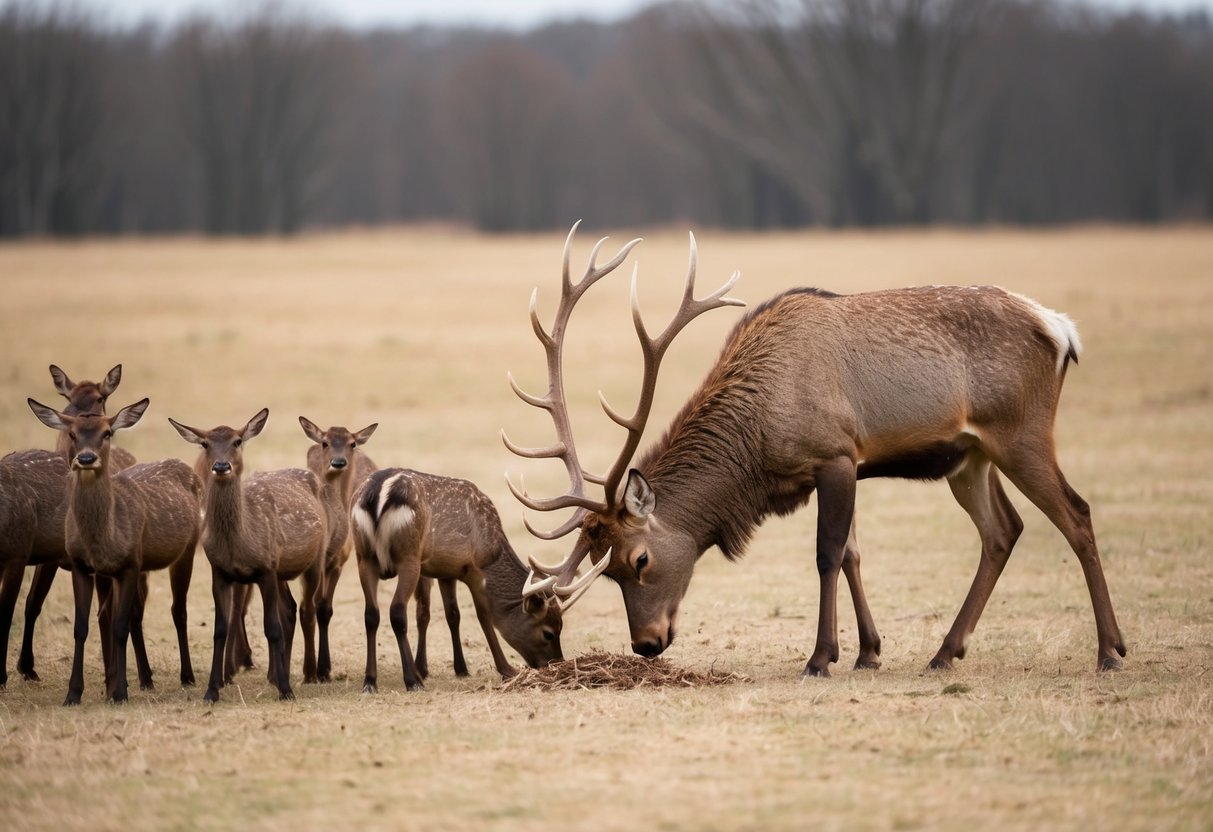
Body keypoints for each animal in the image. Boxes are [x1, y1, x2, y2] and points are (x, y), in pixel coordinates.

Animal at [27, 397, 201, 705]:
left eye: (107, 433)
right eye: (72, 433)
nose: (86, 458)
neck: (103, 539)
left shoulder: (129, 564)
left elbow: (118, 627)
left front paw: (119, 692)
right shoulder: (82, 566)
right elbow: (82, 627)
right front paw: (74, 693)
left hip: (187, 550)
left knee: (178, 610)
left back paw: (187, 676)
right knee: (137, 615)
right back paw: (145, 679)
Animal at [168, 409, 327, 702]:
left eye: (237, 441)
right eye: (205, 443)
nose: (221, 466)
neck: (239, 546)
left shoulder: (266, 568)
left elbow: (271, 628)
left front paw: (286, 690)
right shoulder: (219, 572)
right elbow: (220, 629)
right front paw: (211, 690)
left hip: (314, 560)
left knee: (306, 608)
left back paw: (305, 676)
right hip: (282, 572)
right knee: (289, 609)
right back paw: (276, 675)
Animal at [350, 467, 564, 693]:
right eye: (548, 633)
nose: (555, 664)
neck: (491, 553)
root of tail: (380, 493)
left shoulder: (442, 569)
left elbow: (448, 614)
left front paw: (454, 668)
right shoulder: (472, 569)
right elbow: (484, 616)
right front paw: (506, 670)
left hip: (364, 556)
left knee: (371, 613)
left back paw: (370, 681)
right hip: (408, 555)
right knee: (397, 611)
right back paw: (412, 681)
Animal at [505, 223, 1126, 677]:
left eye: (639, 560)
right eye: (607, 571)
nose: (647, 644)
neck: (757, 450)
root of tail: (1060, 330)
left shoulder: (834, 454)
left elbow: (828, 553)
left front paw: (821, 657)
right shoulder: (845, 464)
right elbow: (852, 551)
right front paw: (869, 651)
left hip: (1021, 432)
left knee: (1076, 514)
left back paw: (1110, 651)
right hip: (969, 457)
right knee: (1002, 531)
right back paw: (945, 652)